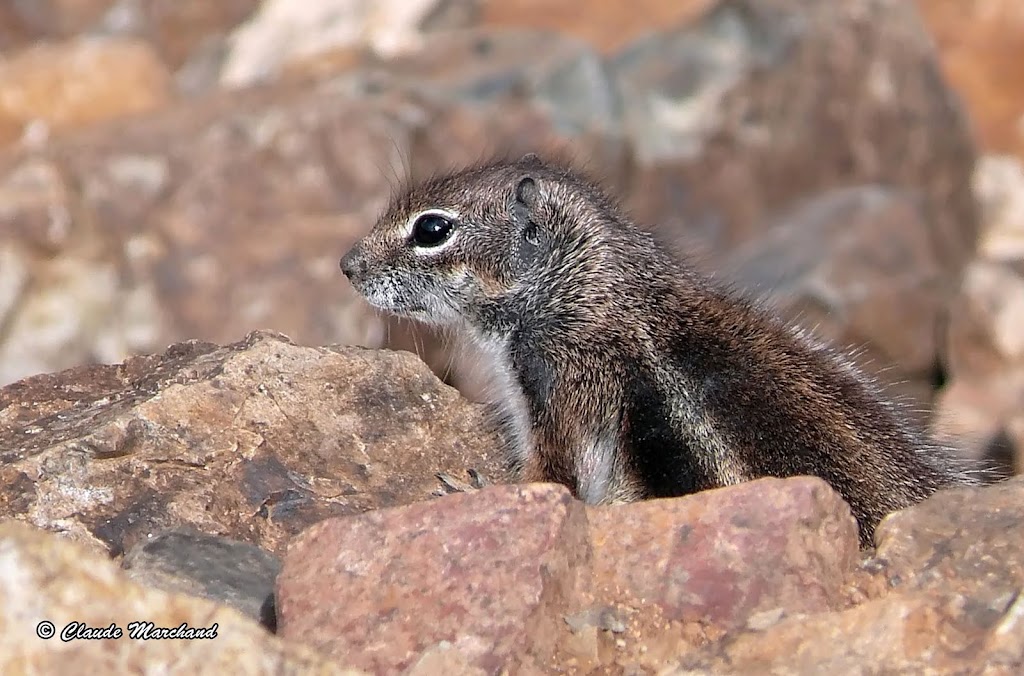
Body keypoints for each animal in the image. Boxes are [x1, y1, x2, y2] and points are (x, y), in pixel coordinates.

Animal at [342, 153, 974, 544]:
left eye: (432, 230)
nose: (348, 265)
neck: (584, 287)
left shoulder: (570, 387)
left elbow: (554, 478)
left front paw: (473, 489)